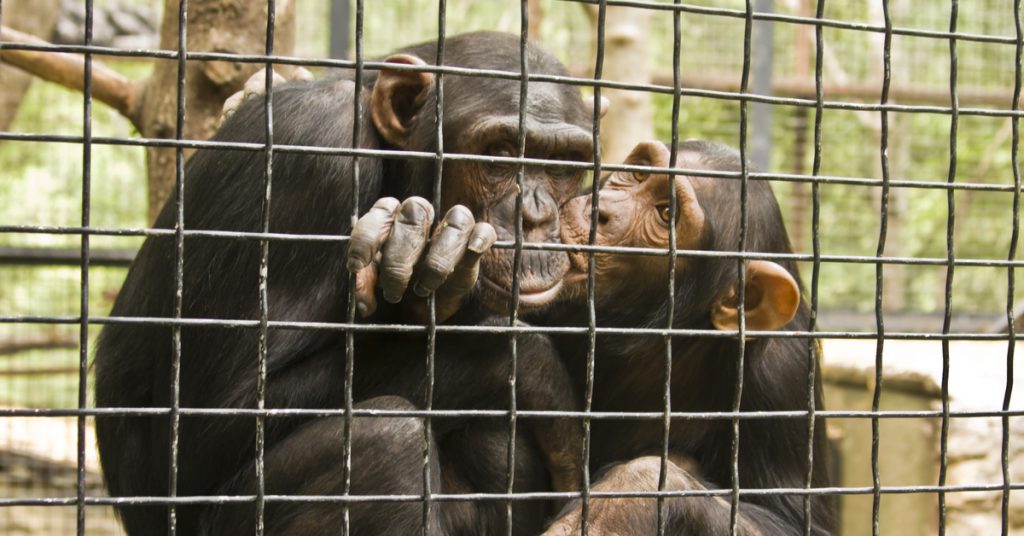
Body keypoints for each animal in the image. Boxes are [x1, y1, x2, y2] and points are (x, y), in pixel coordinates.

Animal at [96, 31, 598, 532]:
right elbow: (215, 422)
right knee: (387, 441)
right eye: (500, 154)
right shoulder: (314, 152)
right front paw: (529, 364)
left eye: (561, 165)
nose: (535, 216)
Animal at [540, 140, 835, 532]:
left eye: (667, 213)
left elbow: (796, 521)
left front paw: (626, 500)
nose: (601, 212)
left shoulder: (785, 376)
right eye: (638, 174)